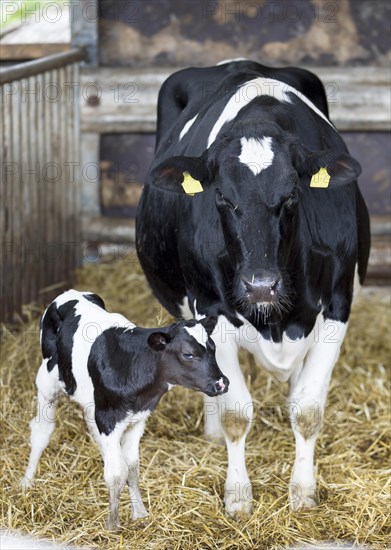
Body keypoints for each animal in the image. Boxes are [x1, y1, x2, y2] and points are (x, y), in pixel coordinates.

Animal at [21, 292, 228, 532]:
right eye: (188, 354)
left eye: (213, 348)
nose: (222, 383)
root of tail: (69, 293)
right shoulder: (108, 419)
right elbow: (116, 473)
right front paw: (112, 524)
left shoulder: (136, 419)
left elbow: (131, 468)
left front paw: (139, 512)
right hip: (47, 381)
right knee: (41, 432)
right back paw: (27, 481)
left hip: (91, 404)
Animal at [137, 60, 370, 516]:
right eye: (223, 198)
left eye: (293, 194)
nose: (261, 285)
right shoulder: (212, 308)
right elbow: (236, 414)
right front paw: (238, 496)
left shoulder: (338, 304)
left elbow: (308, 410)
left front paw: (303, 491)